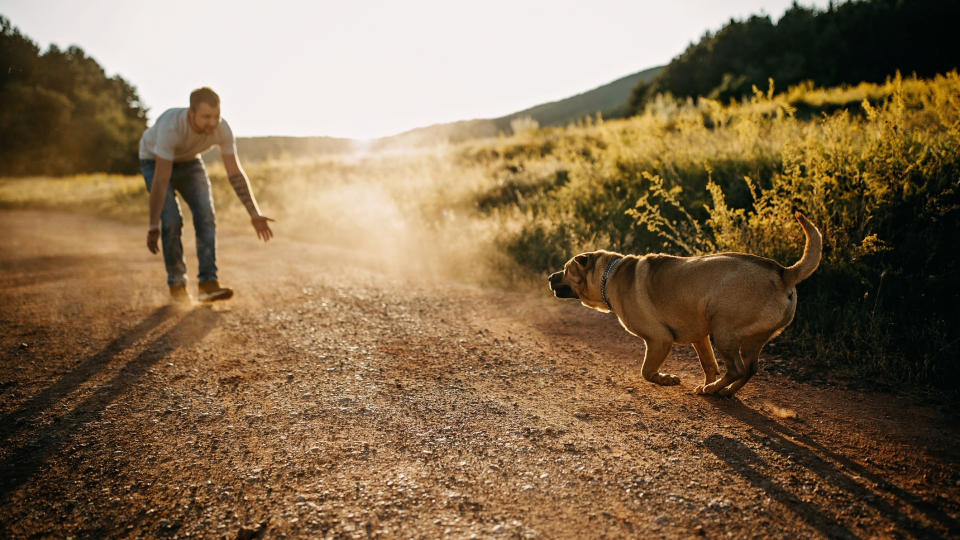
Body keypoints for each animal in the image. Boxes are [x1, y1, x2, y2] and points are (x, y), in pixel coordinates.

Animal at [552, 212, 820, 396]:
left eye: (565, 269)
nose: (549, 277)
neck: (610, 274)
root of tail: (784, 273)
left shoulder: (659, 340)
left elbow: (646, 371)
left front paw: (666, 379)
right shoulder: (699, 338)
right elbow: (708, 364)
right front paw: (707, 380)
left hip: (724, 333)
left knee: (737, 369)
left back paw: (712, 390)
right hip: (751, 341)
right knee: (749, 369)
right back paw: (724, 391)